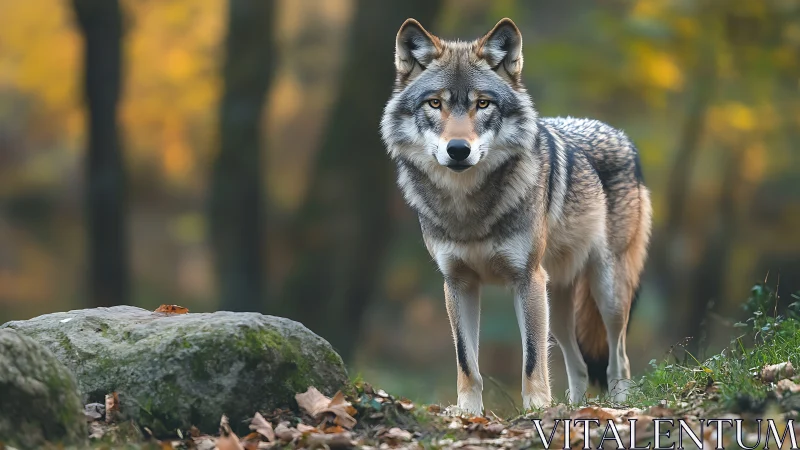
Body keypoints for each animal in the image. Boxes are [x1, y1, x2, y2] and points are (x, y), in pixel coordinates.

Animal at [380, 18, 652, 414]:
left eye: (482, 103)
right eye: (435, 103)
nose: (458, 150)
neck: (468, 208)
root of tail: (620, 134)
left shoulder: (526, 280)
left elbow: (532, 358)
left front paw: (536, 409)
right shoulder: (458, 283)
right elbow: (467, 361)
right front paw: (469, 414)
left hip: (607, 292)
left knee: (619, 357)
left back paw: (617, 405)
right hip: (558, 302)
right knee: (580, 365)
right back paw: (574, 407)